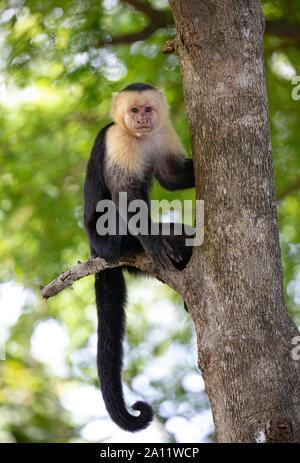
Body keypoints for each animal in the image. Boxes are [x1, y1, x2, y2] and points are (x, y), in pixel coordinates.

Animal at [83, 81, 195, 434]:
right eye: (133, 110)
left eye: (148, 109)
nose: (141, 119)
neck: (140, 137)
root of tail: (95, 254)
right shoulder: (119, 141)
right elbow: (126, 196)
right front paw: (154, 239)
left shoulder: (162, 133)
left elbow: (172, 177)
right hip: (105, 240)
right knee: (115, 215)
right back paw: (151, 243)